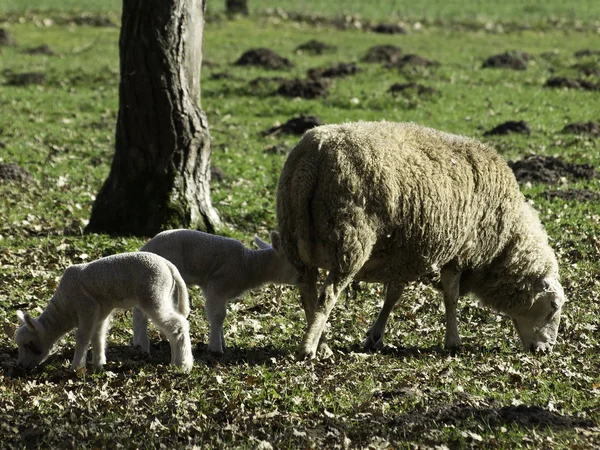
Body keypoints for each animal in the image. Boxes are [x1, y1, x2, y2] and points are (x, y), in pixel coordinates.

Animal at [16, 253, 193, 372]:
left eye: (28, 344)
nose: (21, 366)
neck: (65, 308)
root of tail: (169, 266)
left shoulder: (86, 307)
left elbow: (82, 337)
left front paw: (76, 367)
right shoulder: (101, 312)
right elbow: (98, 335)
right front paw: (99, 364)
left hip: (154, 293)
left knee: (178, 325)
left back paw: (184, 365)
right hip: (165, 294)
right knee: (173, 327)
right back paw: (175, 361)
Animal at [134, 230, 298, 356]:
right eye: (292, 262)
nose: (302, 277)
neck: (249, 265)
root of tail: (144, 248)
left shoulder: (213, 289)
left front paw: (222, 341)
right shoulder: (217, 286)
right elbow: (218, 316)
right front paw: (216, 349)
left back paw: (137, 343)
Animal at [276, 120, 568, 358]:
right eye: (554, 306)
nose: (546, 350)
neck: (503, 243)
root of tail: (312, 158)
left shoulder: (406, 252)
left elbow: (393, 295)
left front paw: (375, 337)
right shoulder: (459, 252)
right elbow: (451, 297)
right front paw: (453, 341)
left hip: (295, 241)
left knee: (308, 293)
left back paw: (321, 342)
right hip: (349, 241)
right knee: (327, 296)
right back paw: (310, 348)